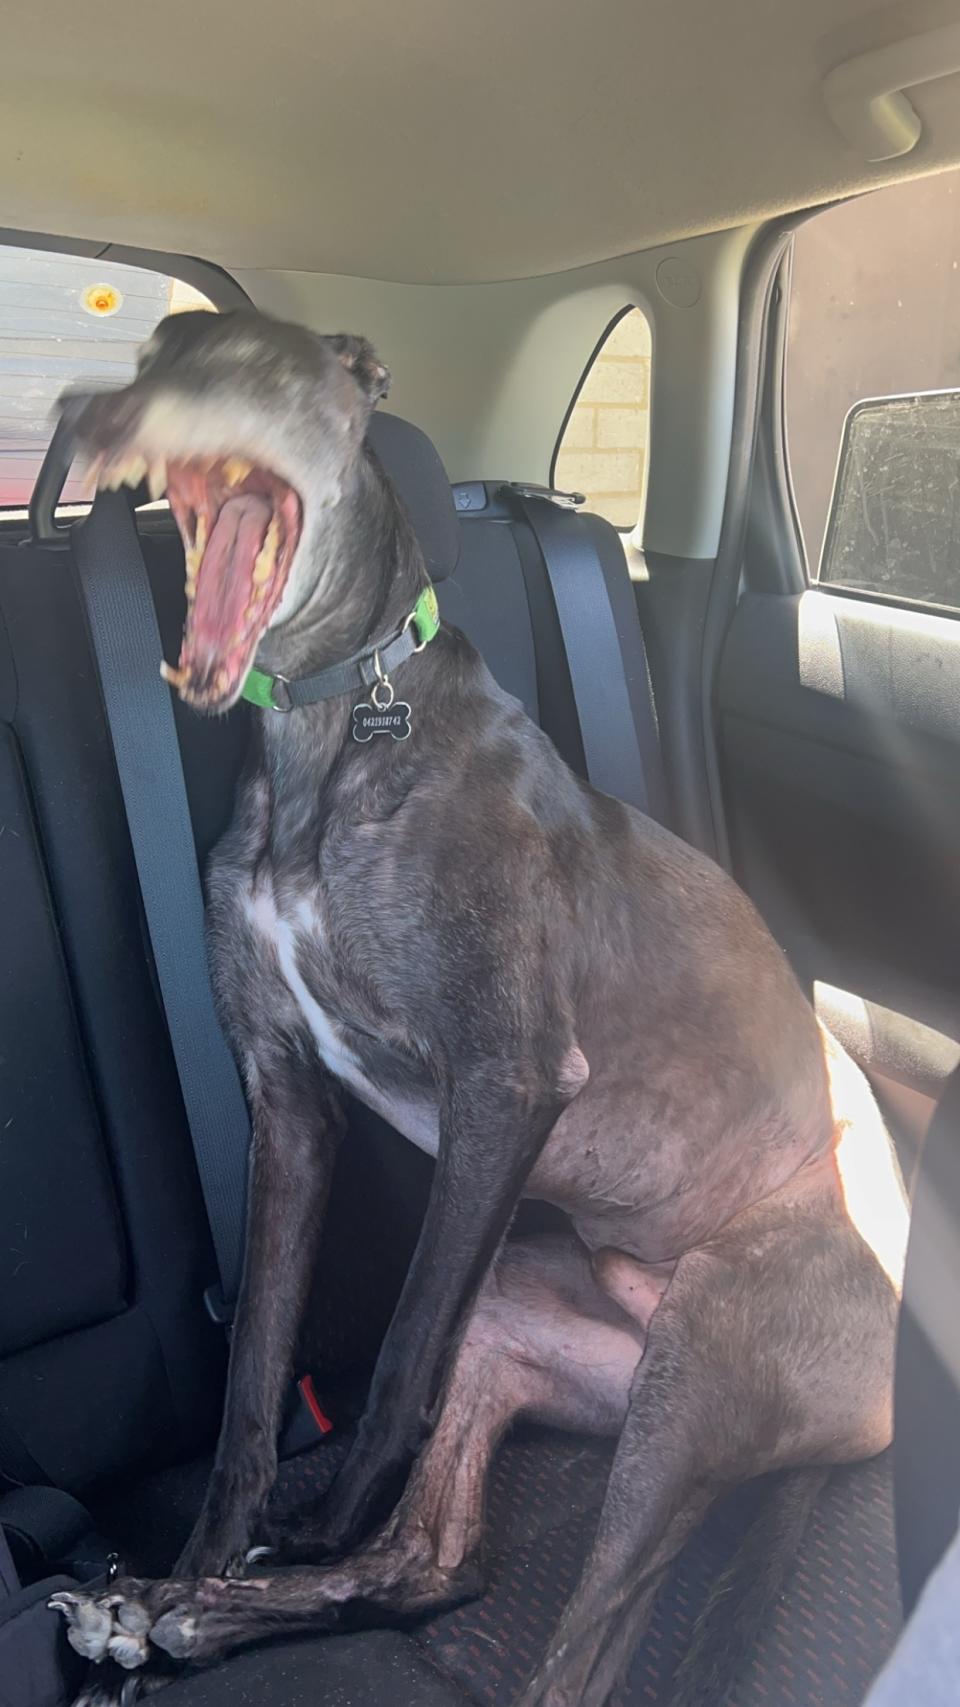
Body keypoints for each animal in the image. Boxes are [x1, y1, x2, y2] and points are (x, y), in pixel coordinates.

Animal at [50, 310, 901, 1707]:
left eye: (265, 363)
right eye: (157, 345)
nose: (85, 416)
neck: (338, 732)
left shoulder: (509, 1077)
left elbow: (398, 1356)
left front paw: (309, 1522)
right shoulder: (287, 1101)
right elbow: (249, 1387)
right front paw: (198, 1566)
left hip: (702, 1355)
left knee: (578, 1665)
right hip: (520, 1314)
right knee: (435, 1567)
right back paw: (186, 1616)